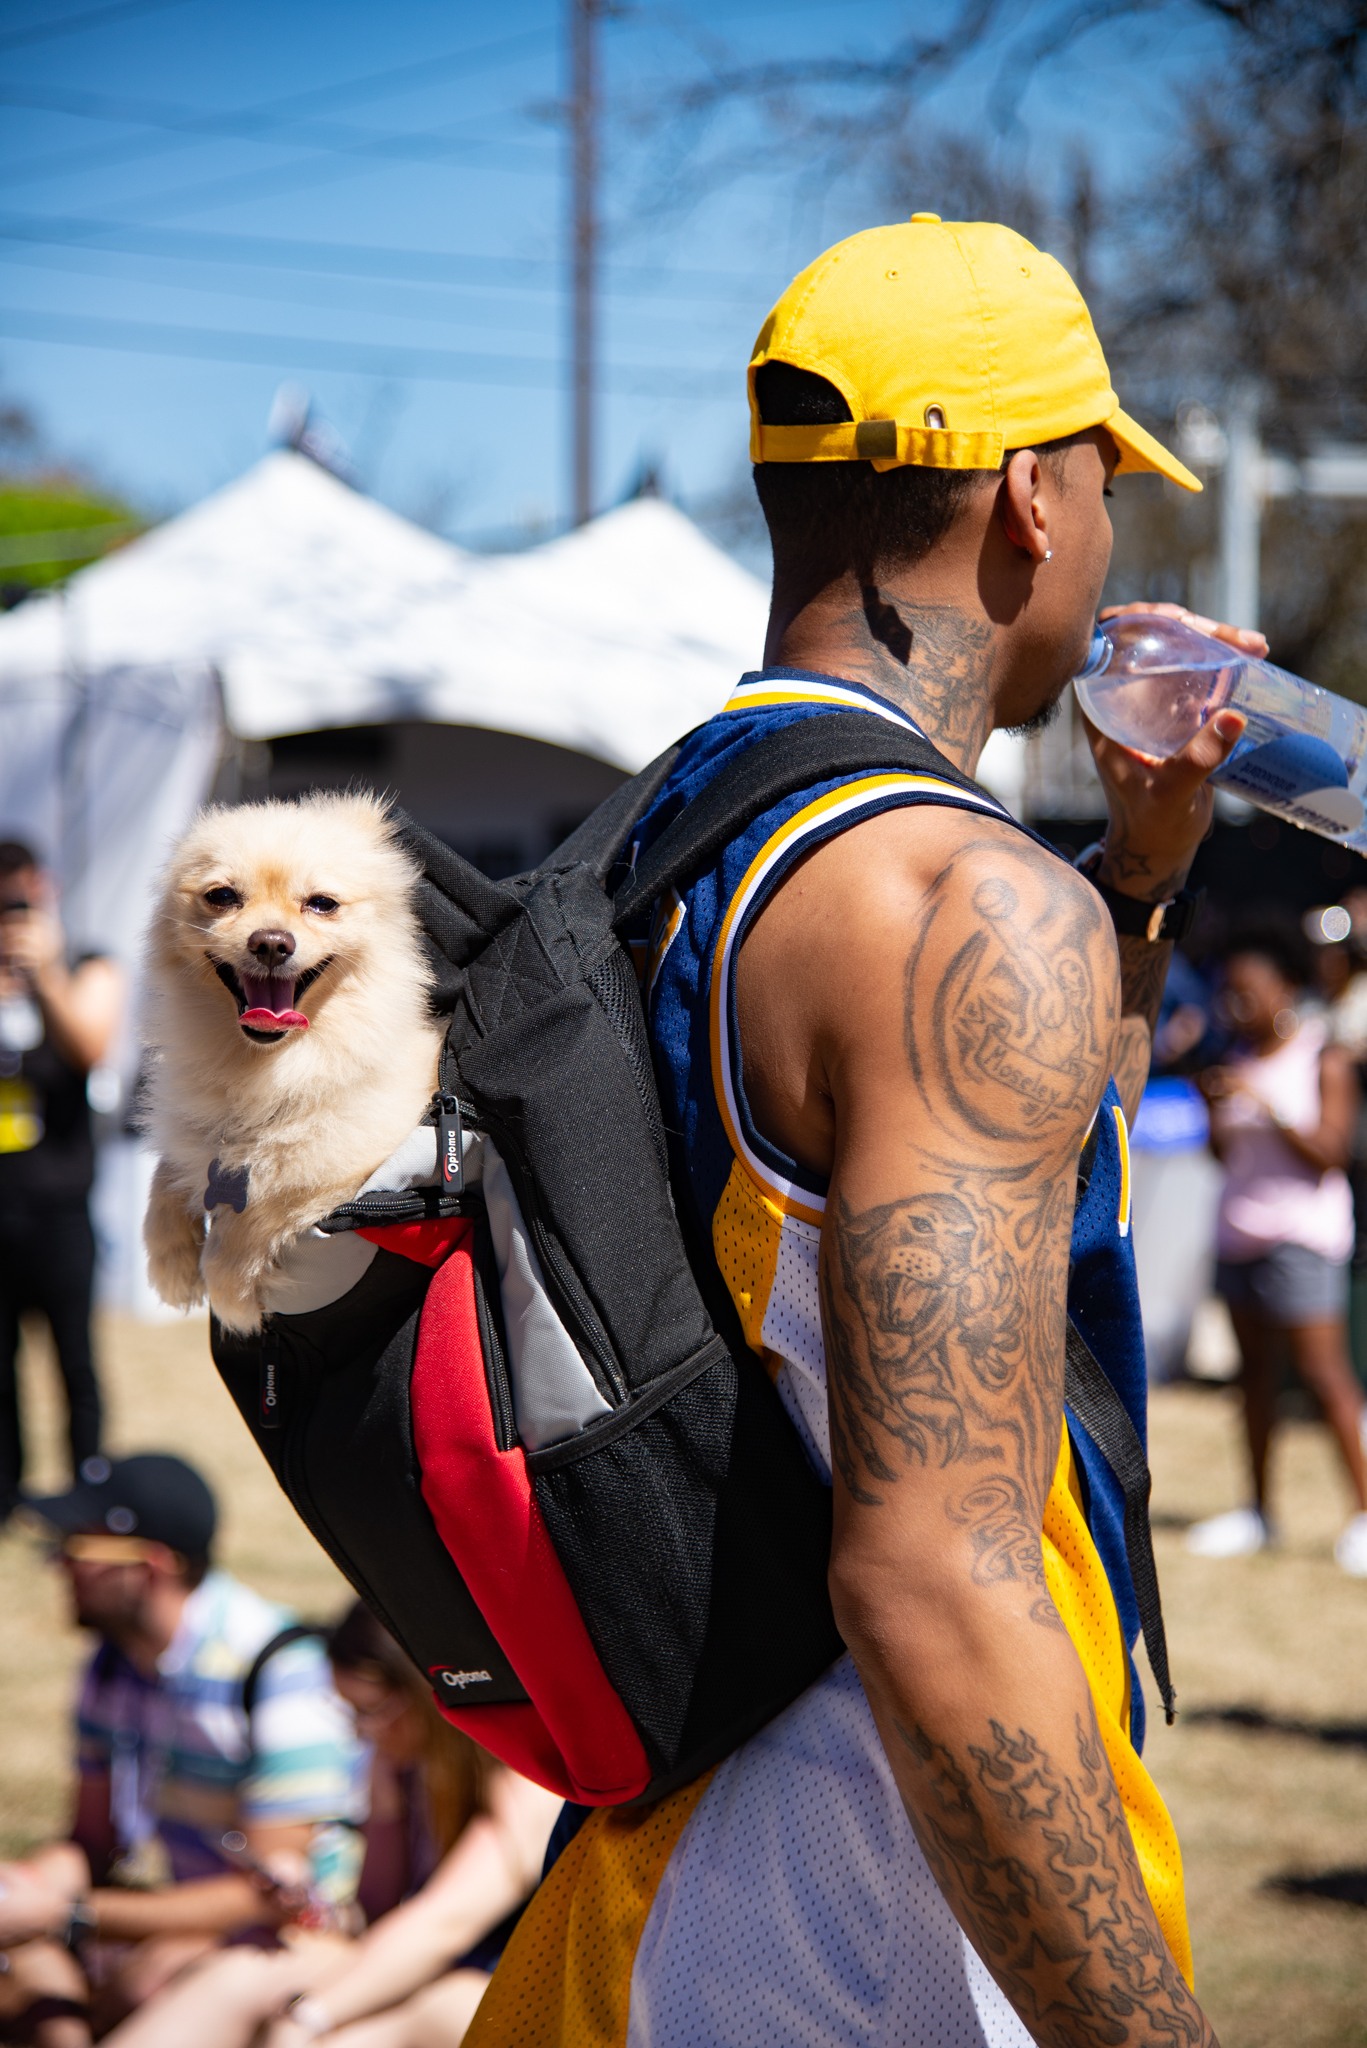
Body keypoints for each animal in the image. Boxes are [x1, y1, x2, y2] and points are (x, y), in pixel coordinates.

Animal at [139, 790, 440, 1335]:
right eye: (221, 896)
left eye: (322, 904)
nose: (272, 942)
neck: (270, 1065)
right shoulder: (198, 1116)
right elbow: (171, 1166)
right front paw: (170, 1262)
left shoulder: (353, 1163)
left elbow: (263, 1210)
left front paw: (231, 1294)